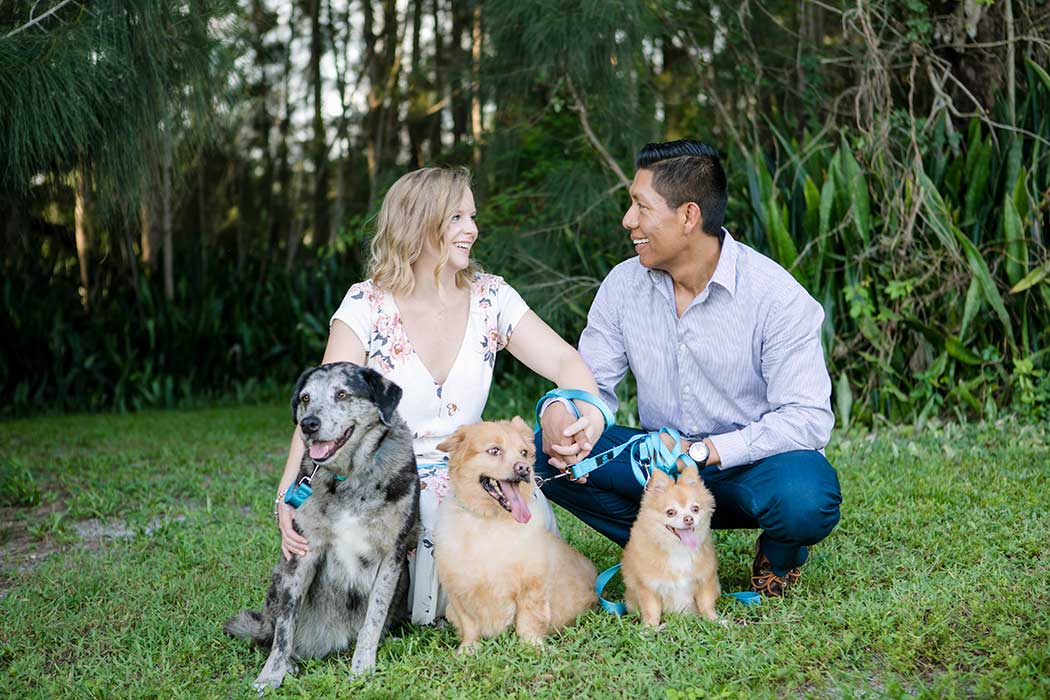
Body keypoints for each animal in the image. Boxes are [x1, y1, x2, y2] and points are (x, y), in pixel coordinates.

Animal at [224, 365, 417, 692]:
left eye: (342, 394)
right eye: (305, 398)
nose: (308, 424)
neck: (351, 477)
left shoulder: (391, 557)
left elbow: (373, 619)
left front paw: (362, 668)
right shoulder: (303, 554)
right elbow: (284, 630)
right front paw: (270, 676)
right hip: (279, 576)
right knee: (270, 632)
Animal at [434, 415, 600, 650]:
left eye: (523, 452)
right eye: (494, 450)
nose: (524, 469)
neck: (490, 521)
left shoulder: (532, 587)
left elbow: (529, 620)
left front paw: (531, 647)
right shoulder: (458, 590)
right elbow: (469, 624)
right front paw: (468, 648)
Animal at [621, 461, 722, 625]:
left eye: (695, 509)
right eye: (670, 512)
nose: (689, 519)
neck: (678, 549)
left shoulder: (705, 580)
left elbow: (706, 604)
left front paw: (713, 620)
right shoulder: (648, 587)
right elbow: (651, 611)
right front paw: (650, 627)